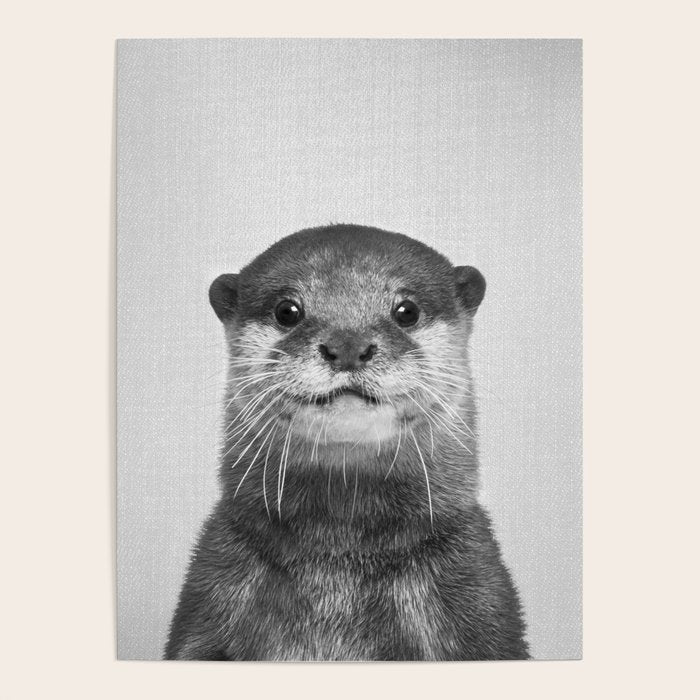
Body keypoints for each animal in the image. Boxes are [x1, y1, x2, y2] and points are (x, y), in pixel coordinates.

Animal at [165, 224, 528, 661]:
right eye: (287, 311)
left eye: (407, 310)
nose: (348, 345)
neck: (338, 563)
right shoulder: (212, 593)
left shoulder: (479, 598)